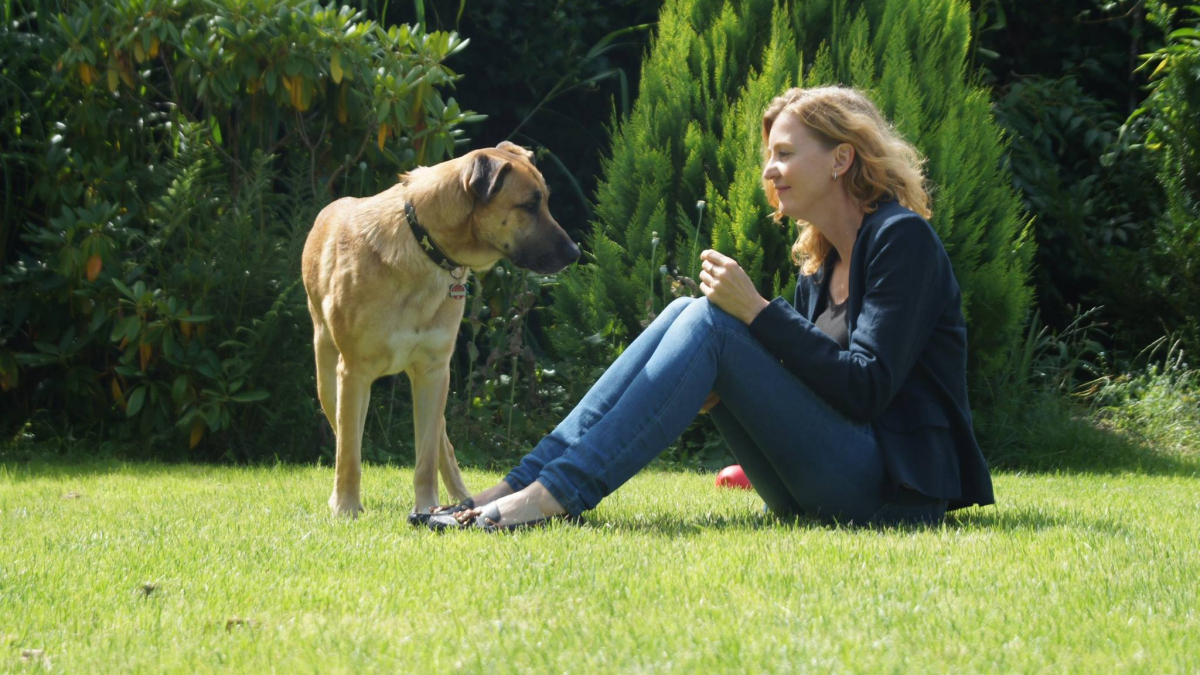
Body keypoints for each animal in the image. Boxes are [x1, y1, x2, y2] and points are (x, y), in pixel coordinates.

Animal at [302, 141, 578, 514]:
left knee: (441, 445)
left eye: (545, 201)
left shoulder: (434, 372)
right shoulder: (354, 372)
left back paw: (461, 498)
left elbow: (427, 457)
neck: (425, 245)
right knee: (347, 436)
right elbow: (348, 453)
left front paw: (426, 508)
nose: (576, 253)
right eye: (529, 205)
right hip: (329, 379)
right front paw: (345, 508)